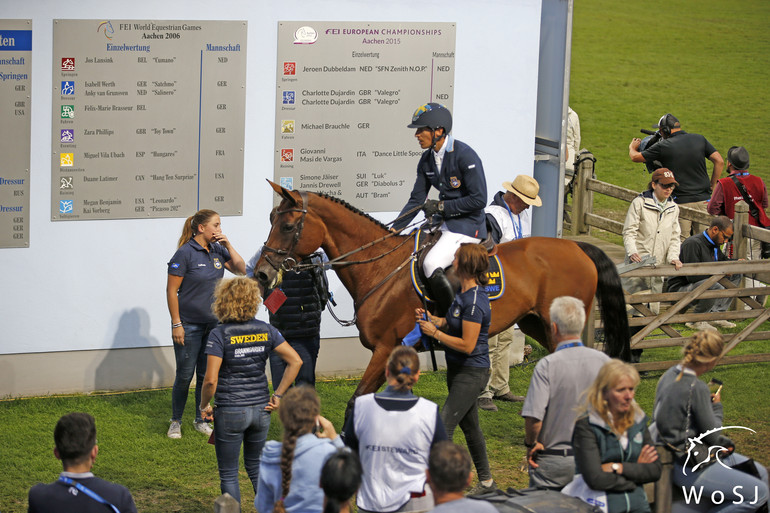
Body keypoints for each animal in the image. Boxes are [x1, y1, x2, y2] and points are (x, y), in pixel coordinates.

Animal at [255, 180, 628, 408]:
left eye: (286, 225)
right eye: (270, 218)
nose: (261, 272)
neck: (380, 267)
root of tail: (576, 246)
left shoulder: (386, 348)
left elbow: (356, 401)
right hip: (537, 323)